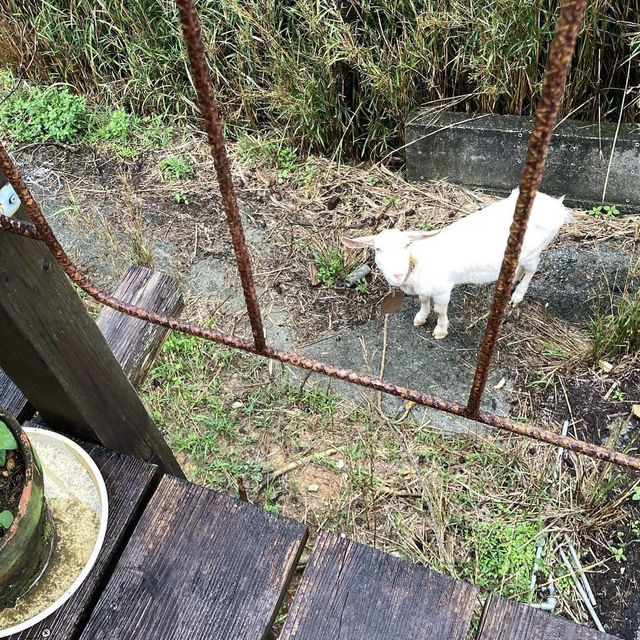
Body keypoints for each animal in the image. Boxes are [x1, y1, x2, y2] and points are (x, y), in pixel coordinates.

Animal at [342, 189, 572, 340]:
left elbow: (439, 310)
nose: (397, 274)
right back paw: (511, 280)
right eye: (378, 249)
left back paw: (517, 294)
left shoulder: (443, 288)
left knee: (532, 269)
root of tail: (557, 206)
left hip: (534, 251)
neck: (417, 265)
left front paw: (440, 330)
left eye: (407, 245)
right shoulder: (425, 288)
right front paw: (420, 318)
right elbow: (423, 301)